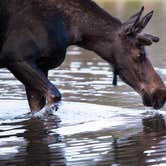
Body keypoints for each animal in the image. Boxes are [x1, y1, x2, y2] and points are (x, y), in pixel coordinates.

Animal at [0, 0, 165, 111]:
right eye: (139, 54)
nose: (161, 93)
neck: (71, 29)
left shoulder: (42, 65)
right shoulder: (15, 57)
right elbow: (54, 96)